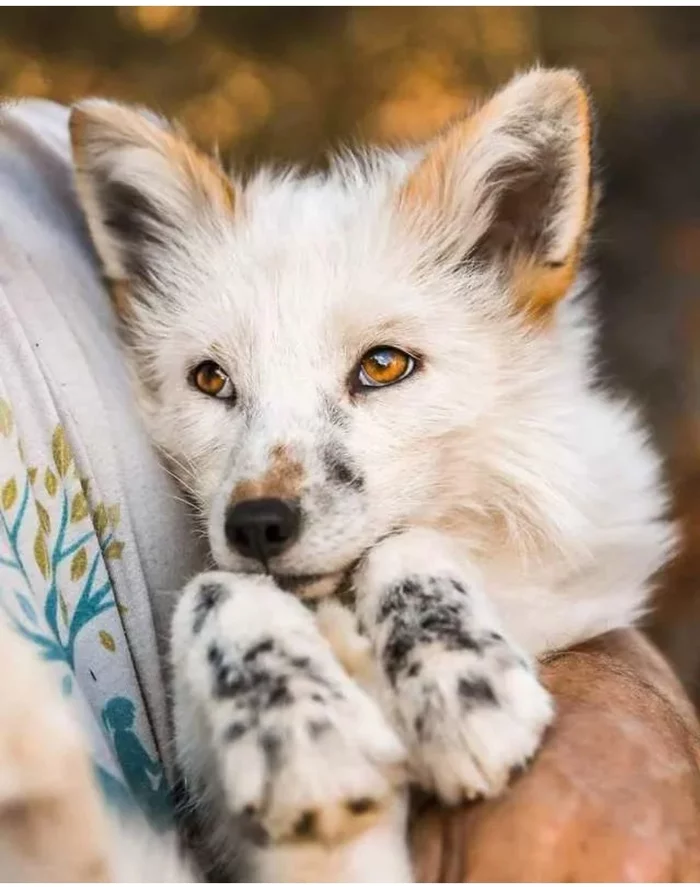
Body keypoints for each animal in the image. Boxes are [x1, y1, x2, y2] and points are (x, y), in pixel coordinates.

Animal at [0, 69, 672, 880]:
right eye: (211, 379)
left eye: (383, 366)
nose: (257, 525)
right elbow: (214, 589)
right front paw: (294, 727)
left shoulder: (580, 588)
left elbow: (406, 543)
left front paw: (457, 675)